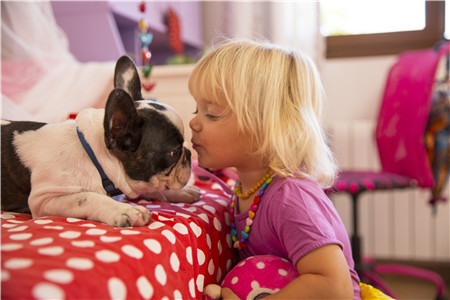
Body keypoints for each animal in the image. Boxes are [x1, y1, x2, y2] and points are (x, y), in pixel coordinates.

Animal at [1, 55, 199, 226]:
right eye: (174, 152)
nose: (189, 153)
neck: (94, 158)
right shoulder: (43, 200)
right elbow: (87, 198)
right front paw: (124, 210)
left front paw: (182, 192)